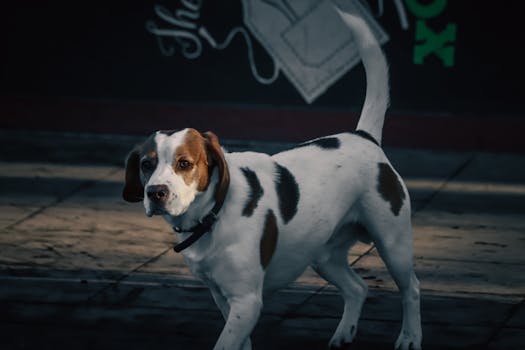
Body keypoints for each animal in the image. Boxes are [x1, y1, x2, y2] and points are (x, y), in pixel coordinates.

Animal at [122, 8, 422, 350]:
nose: (155, 192)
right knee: (358, 288)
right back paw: (344, 333)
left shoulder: (246, 301)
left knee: (411, 289)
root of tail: (363, 137)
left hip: (393, 245)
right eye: (146, 164)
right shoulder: (226, 300)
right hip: (323, 255)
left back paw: (410, 337)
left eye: (184, 163)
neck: (212, 216)